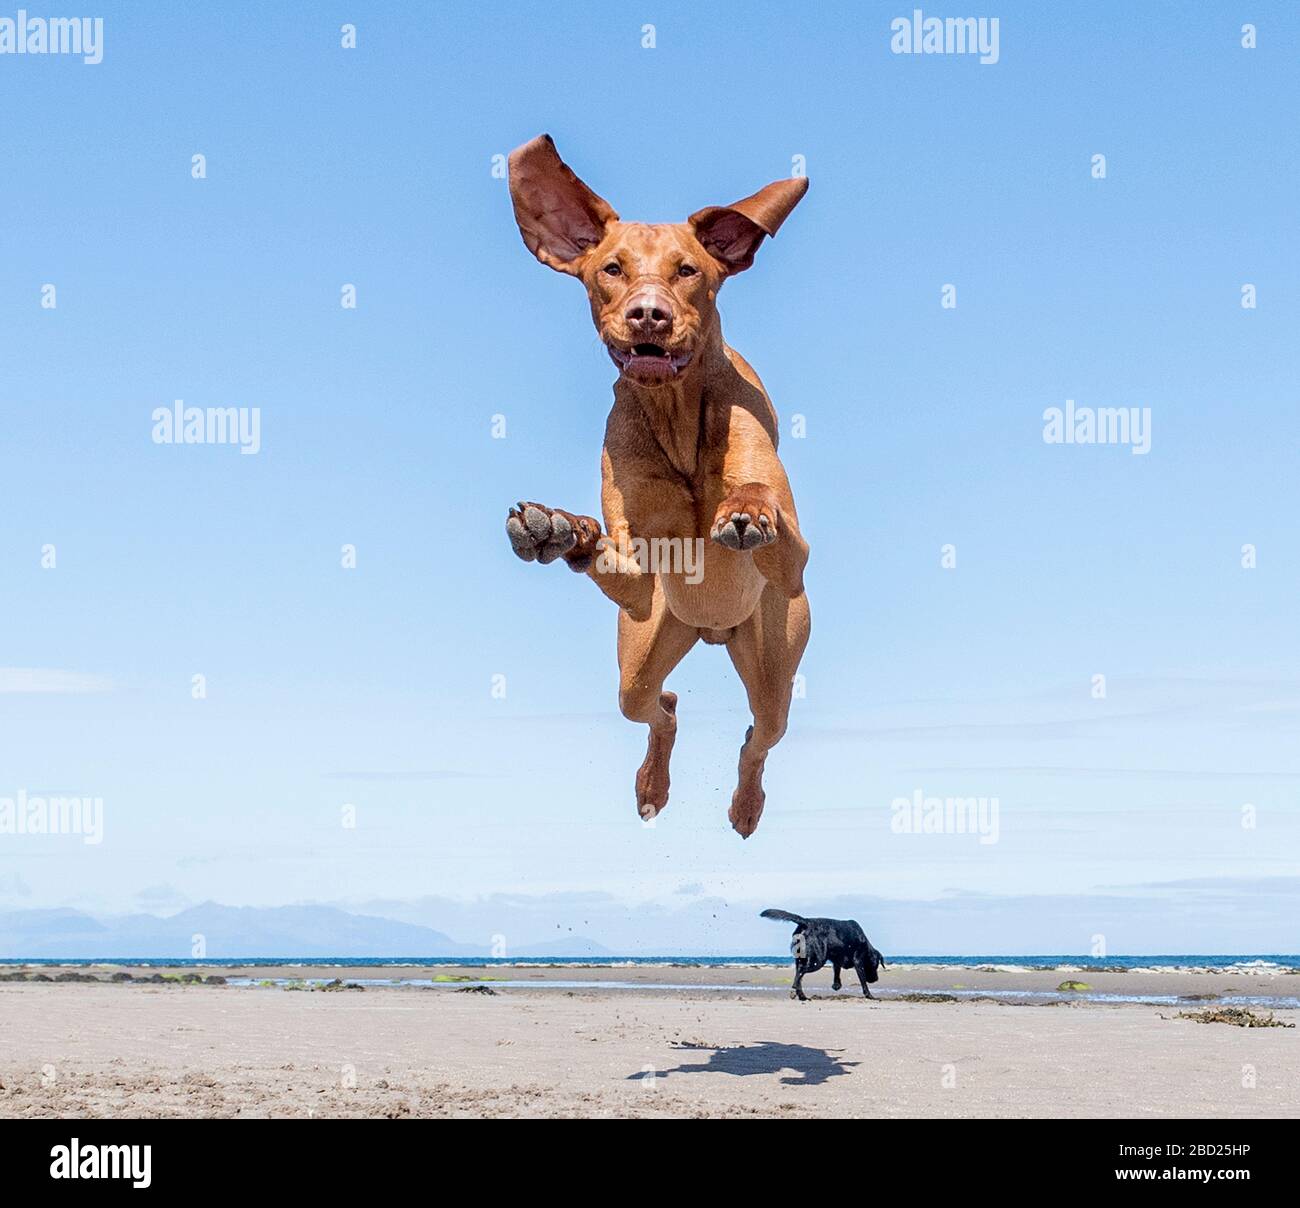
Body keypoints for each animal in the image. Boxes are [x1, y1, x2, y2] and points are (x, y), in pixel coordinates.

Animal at [501, 129, 806, 832]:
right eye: (611, 269)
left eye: (688, 270)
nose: (648, 315)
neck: (675, 416)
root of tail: (713, 632)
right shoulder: (640, 584)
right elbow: (608, 554)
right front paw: (560, 529)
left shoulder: (797, 556)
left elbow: (766, 507)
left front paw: (746, 507)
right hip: (640, 656)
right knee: (660, 708)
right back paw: (651, 785)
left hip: (776, 664)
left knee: (758, 735)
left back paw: (746, 806)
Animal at [759, 905, 889, 998]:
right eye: (876, 965)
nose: (876, 979)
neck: (865, 944)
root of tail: (806, 922)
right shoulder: (858, 961)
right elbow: (863, 980)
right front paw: (869, 995)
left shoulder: (837, 960)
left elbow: (837, 972)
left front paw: (836, 985)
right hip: (818, 960)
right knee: (800, 973)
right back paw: (795, 991)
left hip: (801, 957)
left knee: (799, 973)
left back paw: (802, 996)